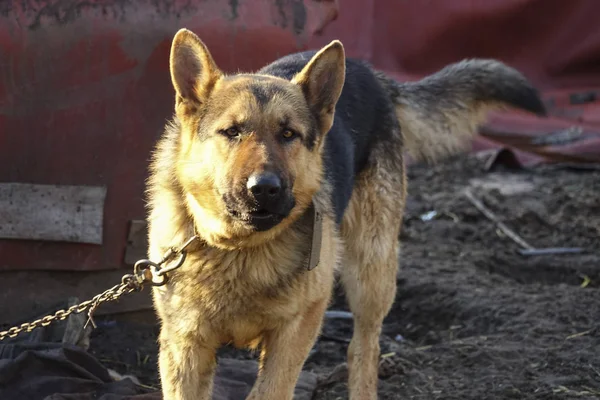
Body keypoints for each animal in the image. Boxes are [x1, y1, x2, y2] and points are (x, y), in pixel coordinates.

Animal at [148, 28, 548, 400]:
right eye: (231, 132)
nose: (264, 188)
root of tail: (371, 72)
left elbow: (272, 388)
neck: (238, 249)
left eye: (288, 134)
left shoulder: (295, 332)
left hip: (371, 271)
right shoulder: (184, 348)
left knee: (363, 349)